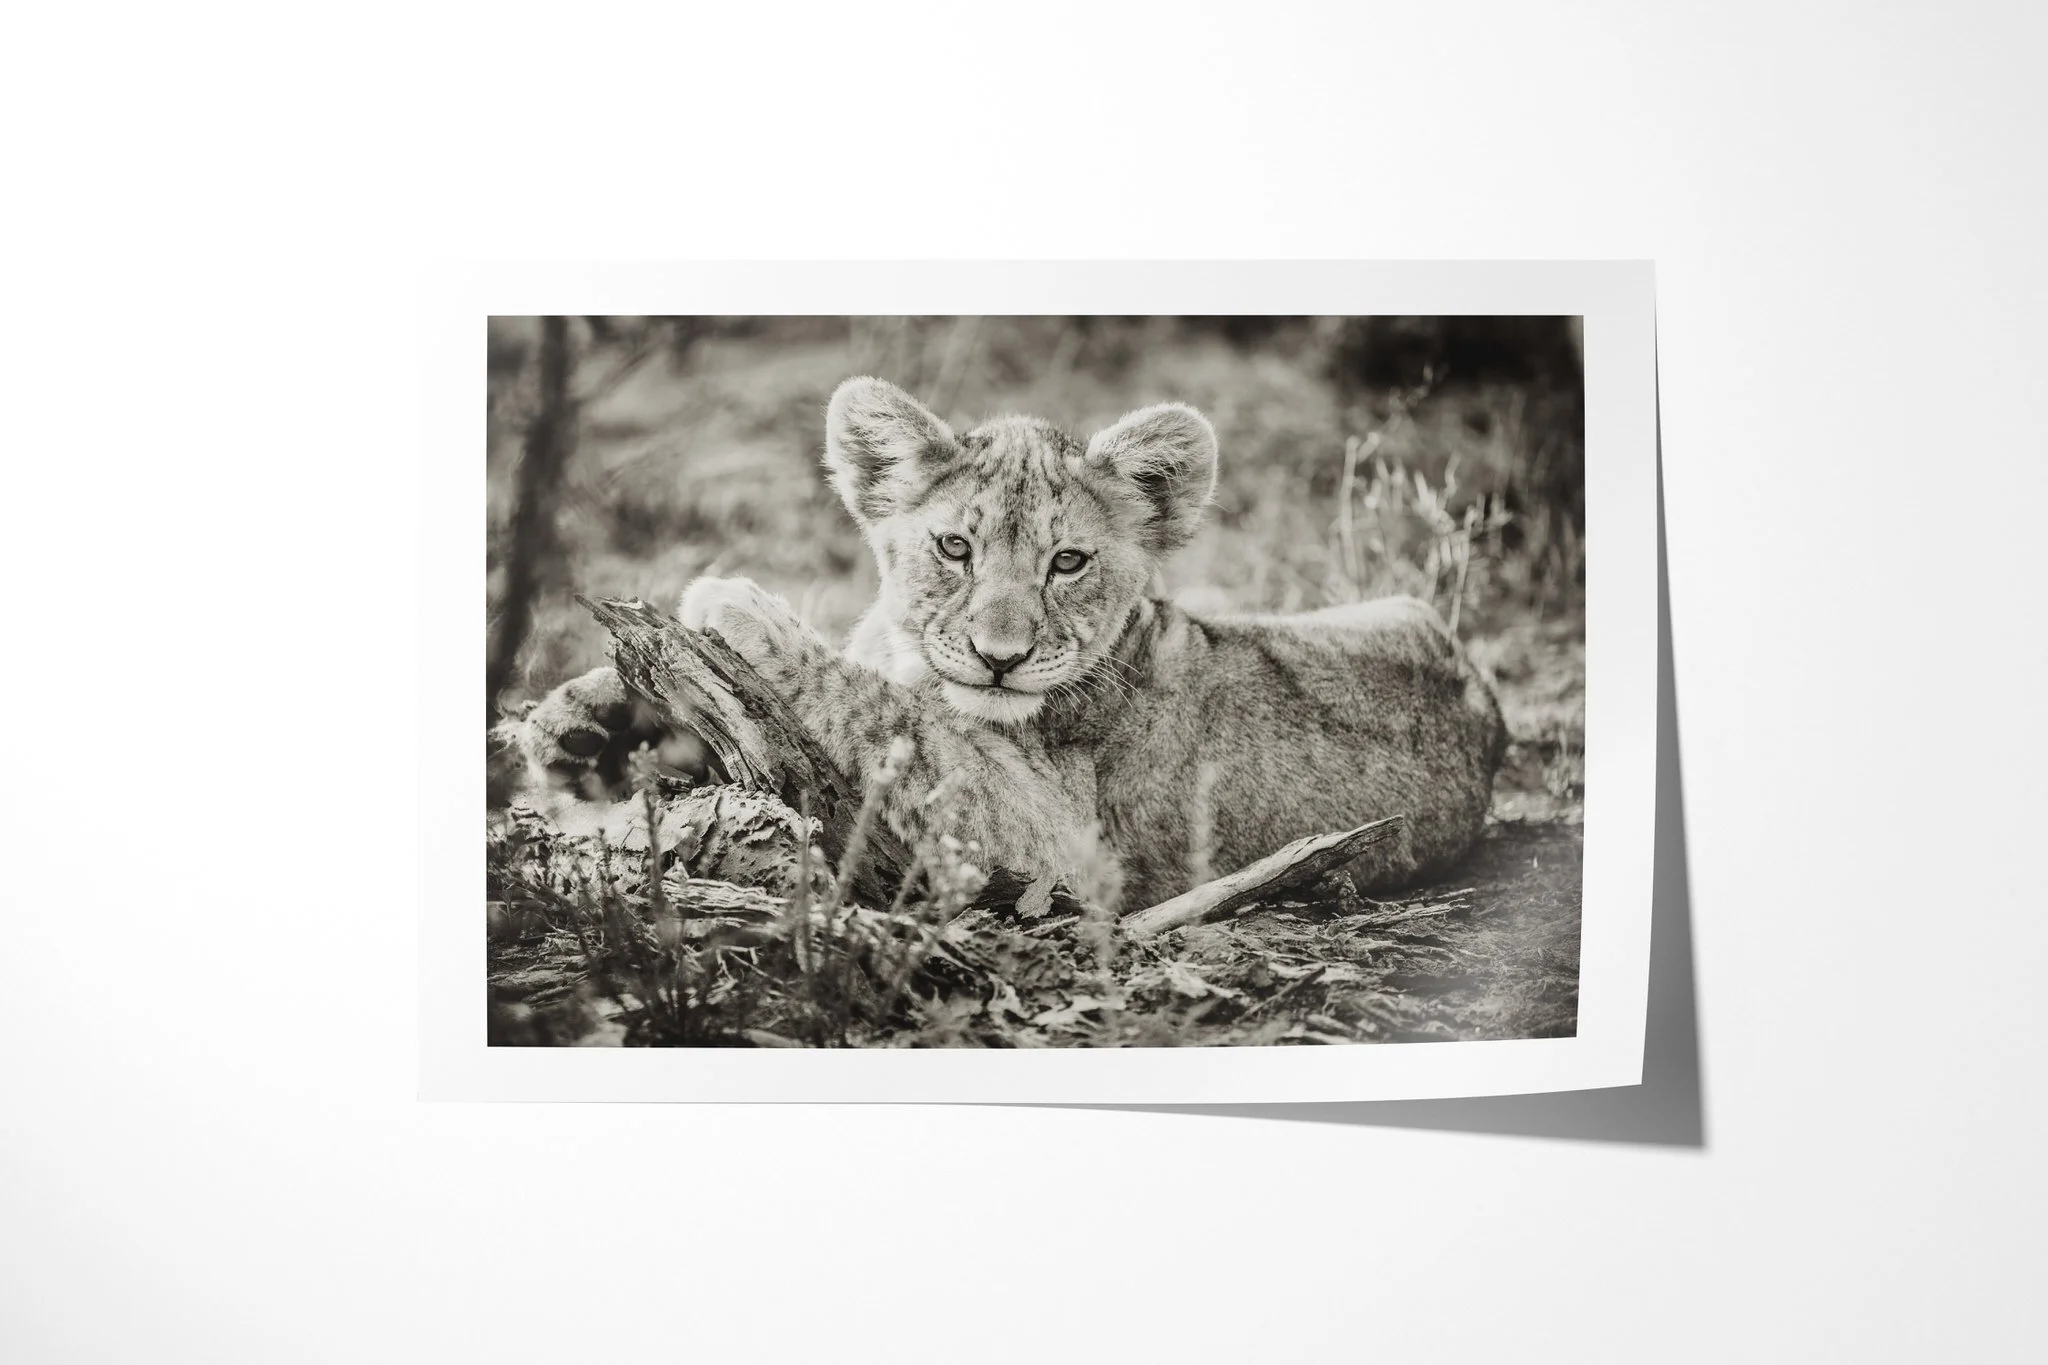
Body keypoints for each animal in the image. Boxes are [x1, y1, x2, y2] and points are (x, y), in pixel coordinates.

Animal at [516, 375, 1508, 913]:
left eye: (1067, 562)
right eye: (956, 547)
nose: (1002, 656)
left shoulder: (1056, 848)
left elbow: (893, 710)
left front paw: (741, 605)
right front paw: (574, 724)